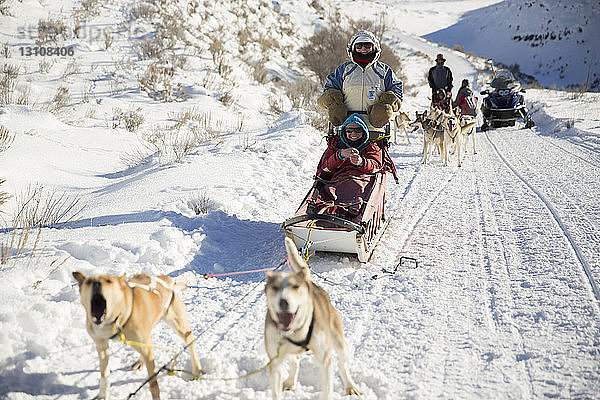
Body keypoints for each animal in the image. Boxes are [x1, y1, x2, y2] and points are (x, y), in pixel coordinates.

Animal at [73, 270, 203, 398]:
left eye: (108, 281)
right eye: (89, 281)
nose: (96, 283)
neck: (118, 319)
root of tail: (166, 280)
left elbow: (153, 384)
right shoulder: (101, 344)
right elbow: (104, 373)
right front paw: (103, 395)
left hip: (179, 326)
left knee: (190, 340)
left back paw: (196, 370)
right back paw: (140, 361)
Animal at [264, 238, 360, 400]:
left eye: (295, 287)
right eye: (275, 287)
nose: (283, 301)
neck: (296, 332)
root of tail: (312, 285)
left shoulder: (324, 361)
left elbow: (327, 390)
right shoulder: (275, 362)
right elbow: (275, 391)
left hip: (339, 342)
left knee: (342, 364)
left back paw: (350, 387)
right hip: (289, 352)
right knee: (295, 361)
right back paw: (290, 382)